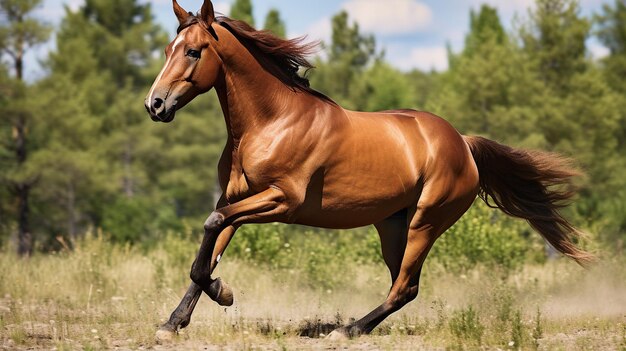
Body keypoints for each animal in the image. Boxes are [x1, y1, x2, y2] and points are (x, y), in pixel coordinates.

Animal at [144, 0, 592, 340]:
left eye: (193, 51)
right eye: (168, 48)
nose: (155, 104)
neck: (271, 121)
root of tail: (463, 143)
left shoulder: (281, 201)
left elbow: (212, 227)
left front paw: (223, 294)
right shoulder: (237, 197)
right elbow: (210, 246)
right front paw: (174, 322)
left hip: (425, 222)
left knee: (405, 286)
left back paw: (346, 331)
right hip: (392, 225)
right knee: (403, 284)